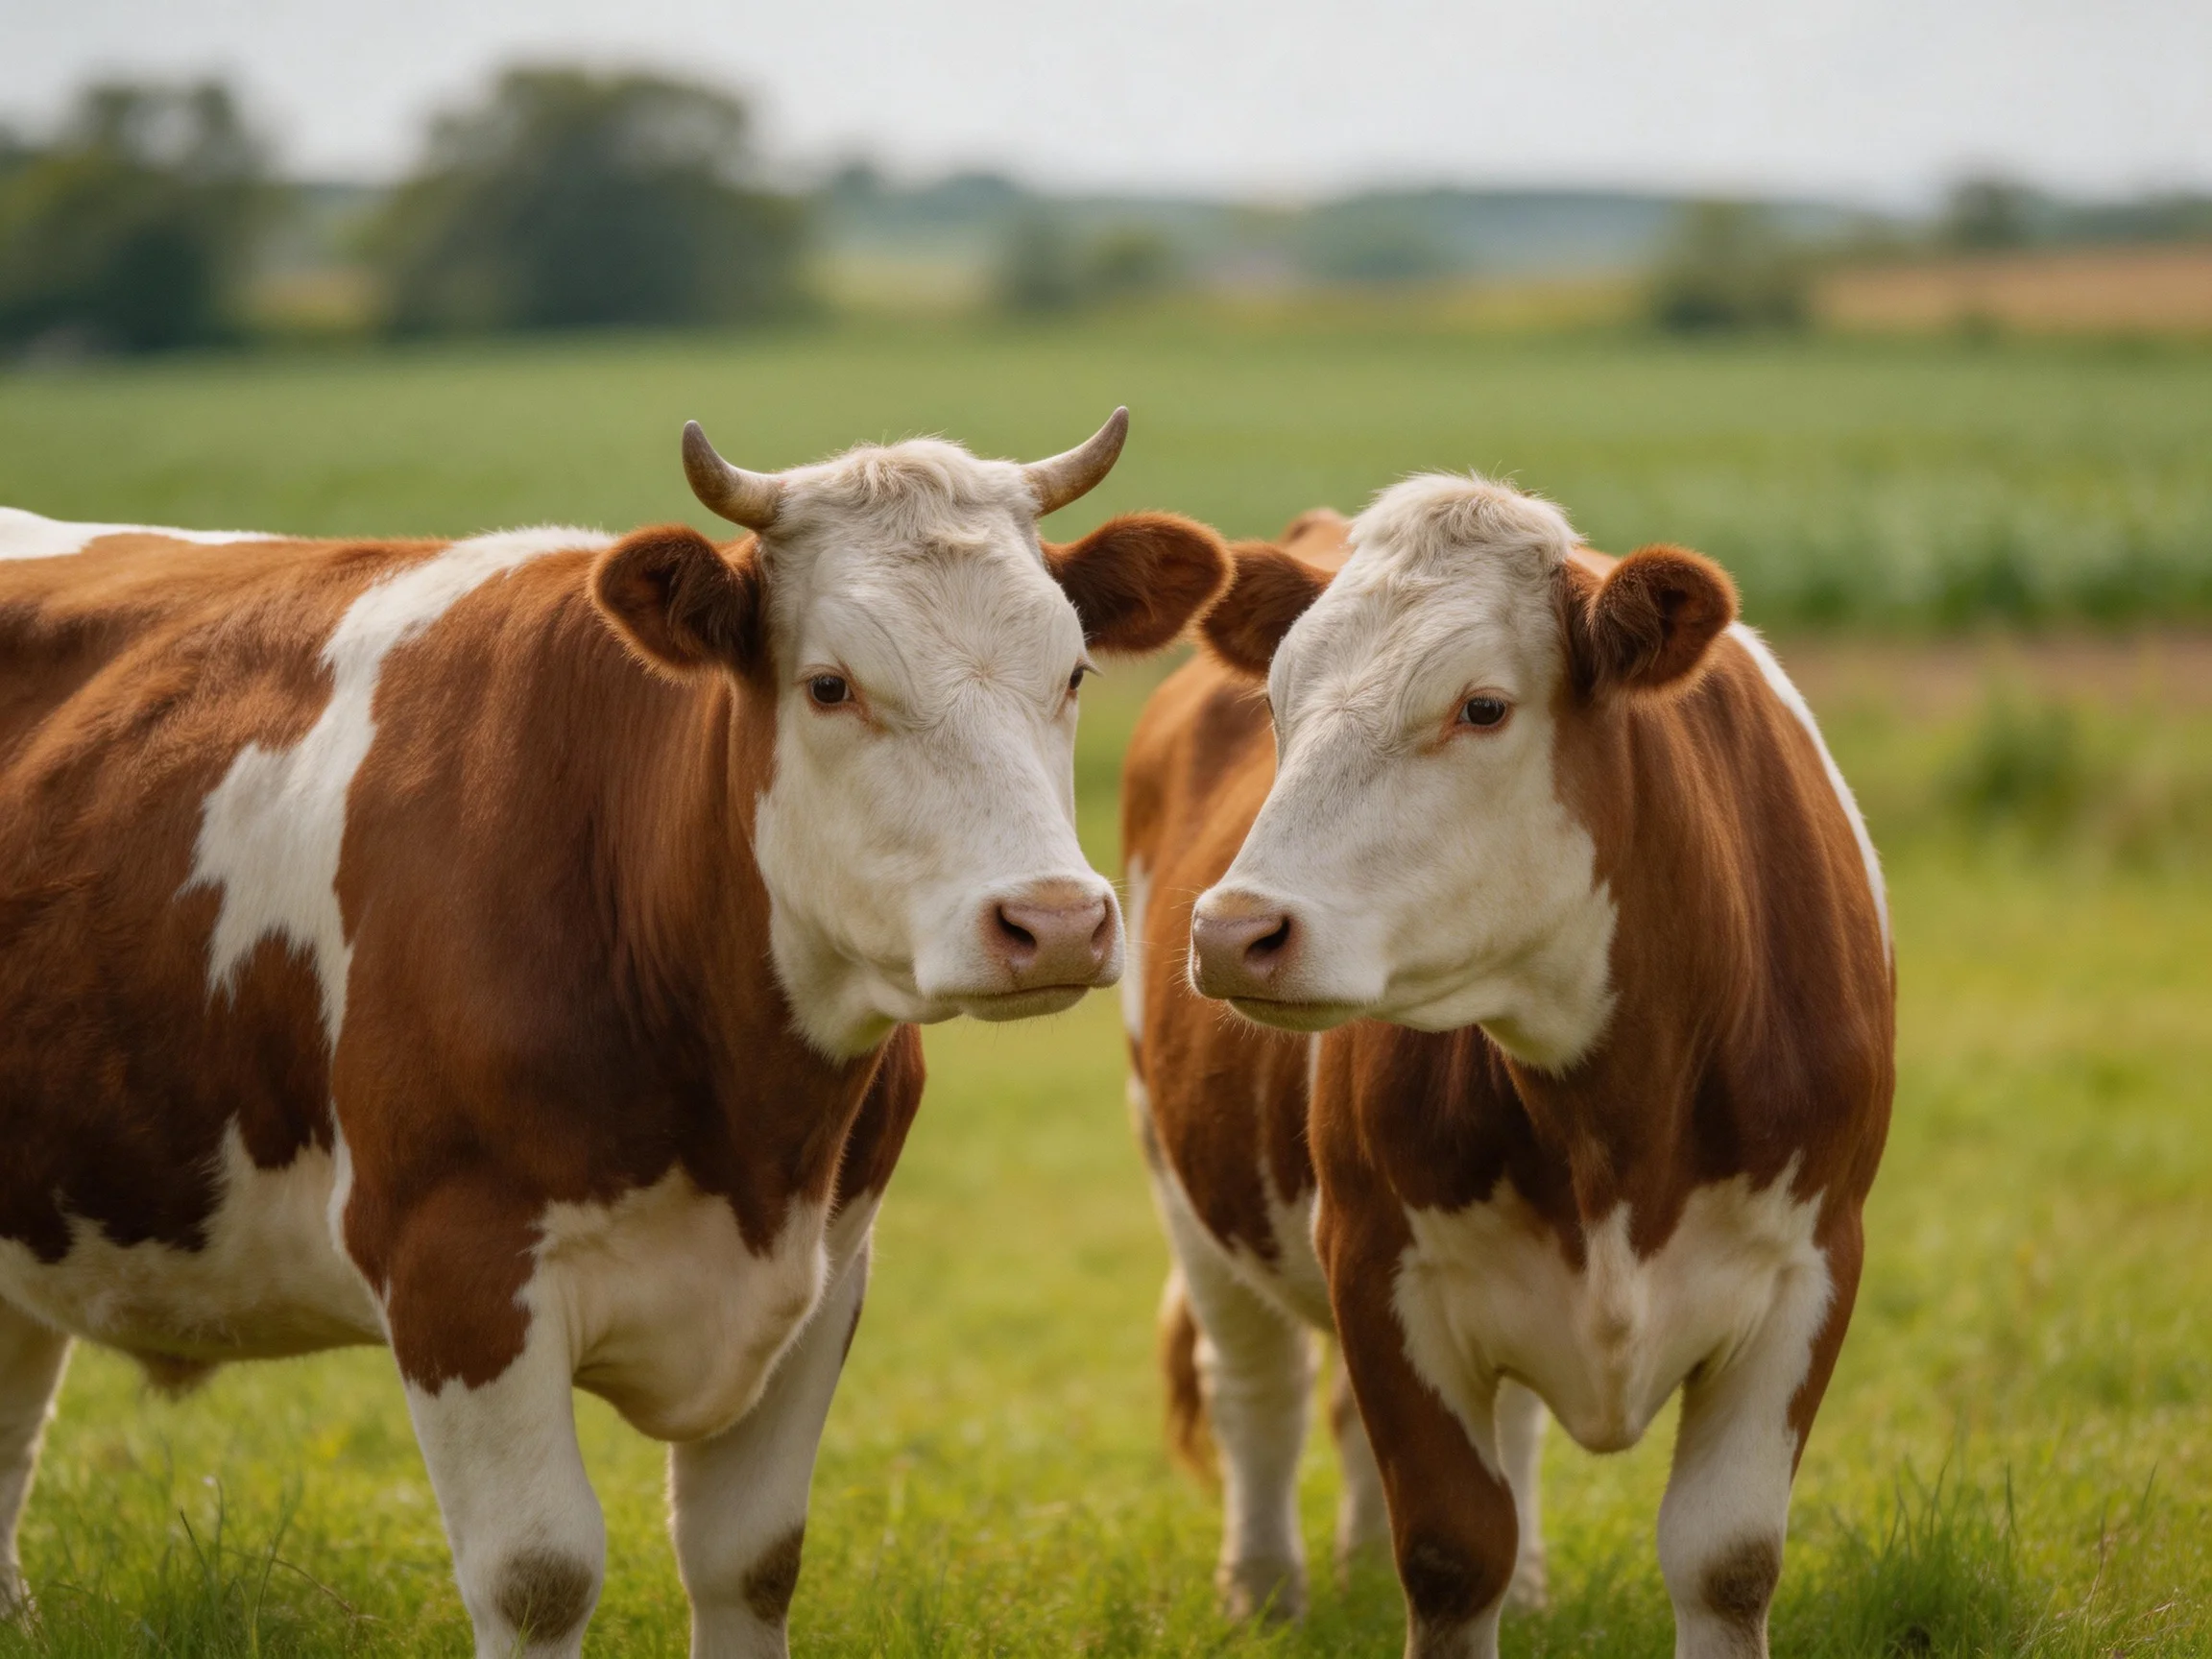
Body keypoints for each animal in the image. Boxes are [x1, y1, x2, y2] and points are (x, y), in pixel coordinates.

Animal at [0, 410, 1231, 1659]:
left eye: (1072, 672)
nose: (1056, 922)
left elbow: (752, 1561)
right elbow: (538, 1575)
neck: (744, 1129)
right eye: (831, 686)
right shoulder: (453, 1267)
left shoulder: (829, 1268)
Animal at [1122, 476, 1892, 1658]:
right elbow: (1450, 1549)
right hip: (1181, 1179)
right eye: (1277, 704)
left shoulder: (1813, 1266)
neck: (1616, 1118)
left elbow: (1725, 1559)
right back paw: (1263, 1588)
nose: (1233, 930)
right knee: (1258, 1387)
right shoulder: (1376, 1258)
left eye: (1481, 708)